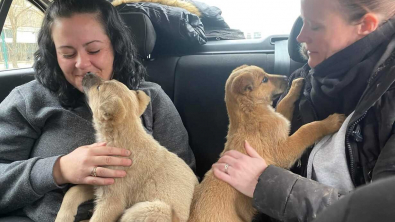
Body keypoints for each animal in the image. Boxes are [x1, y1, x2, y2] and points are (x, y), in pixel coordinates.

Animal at [55, 73, 198, 222]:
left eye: (98, 87)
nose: (88, 73)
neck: (118, 139)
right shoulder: (98, 182)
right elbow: (72, 192)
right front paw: (63, 216)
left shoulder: (112, 201)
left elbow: (97, 218)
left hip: (149, 209)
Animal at [189, 65, 346, 222]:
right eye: (264, 80)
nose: (286, 77)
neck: (250, 113)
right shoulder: (283, 152)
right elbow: (306, 130)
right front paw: (331, 122)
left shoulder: (282, 122)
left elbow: (283, 103)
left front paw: (296, 85)